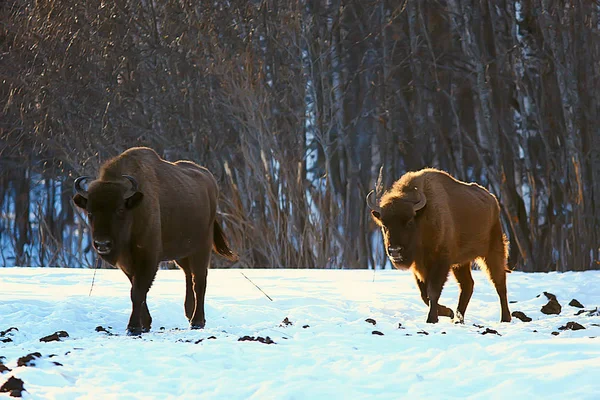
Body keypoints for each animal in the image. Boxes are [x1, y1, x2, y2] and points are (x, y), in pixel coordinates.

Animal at [72, 147, 237, 334]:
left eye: (120, 209)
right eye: (90, 212)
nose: (102, 244)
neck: (134, 208)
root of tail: (210, 181)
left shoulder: (148, 257)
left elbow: (137, 292)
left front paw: (134, 327)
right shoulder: (127, 262)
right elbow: (137, 289)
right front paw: (145, 324)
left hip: (201, 248)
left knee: (199, 281)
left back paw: (197, 321)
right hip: (182, 253)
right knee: (189, 275)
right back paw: (189, 313)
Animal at [366, 167, 510, 324]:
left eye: (409, 222)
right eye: (384, 225)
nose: (394, 251)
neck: (422, 218)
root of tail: (492, 199)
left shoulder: (441, 262)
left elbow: (433, 291)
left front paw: (432, 318)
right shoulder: (420, 266)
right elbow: (424, 294)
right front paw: (448, 312)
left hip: (493, 251)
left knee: (499, 284)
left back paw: (505, 318)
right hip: (461, 263)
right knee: (468, 285)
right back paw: (458, 318)